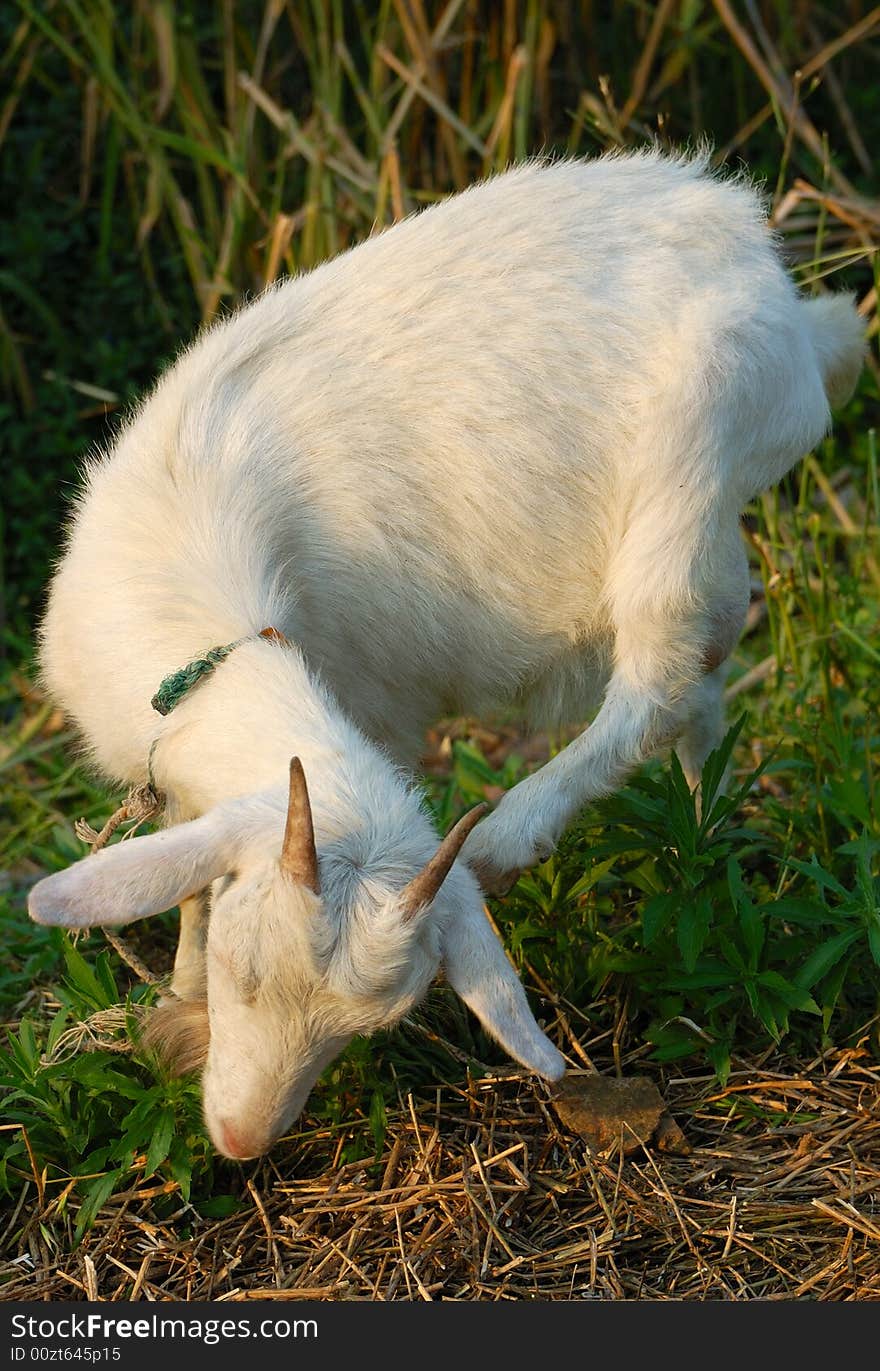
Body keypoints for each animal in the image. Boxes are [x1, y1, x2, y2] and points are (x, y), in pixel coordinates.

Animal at [29, 150, 866, 1157]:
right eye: (245, 965)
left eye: (370, 1029)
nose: (239, 1140)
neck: (189, 577)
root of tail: (751, 244)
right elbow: (186, 868)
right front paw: (180, 995)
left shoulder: (375, 705)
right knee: (702, 689)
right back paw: (704, 831)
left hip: (691, 472)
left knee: (663, 679)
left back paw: (515, 834)